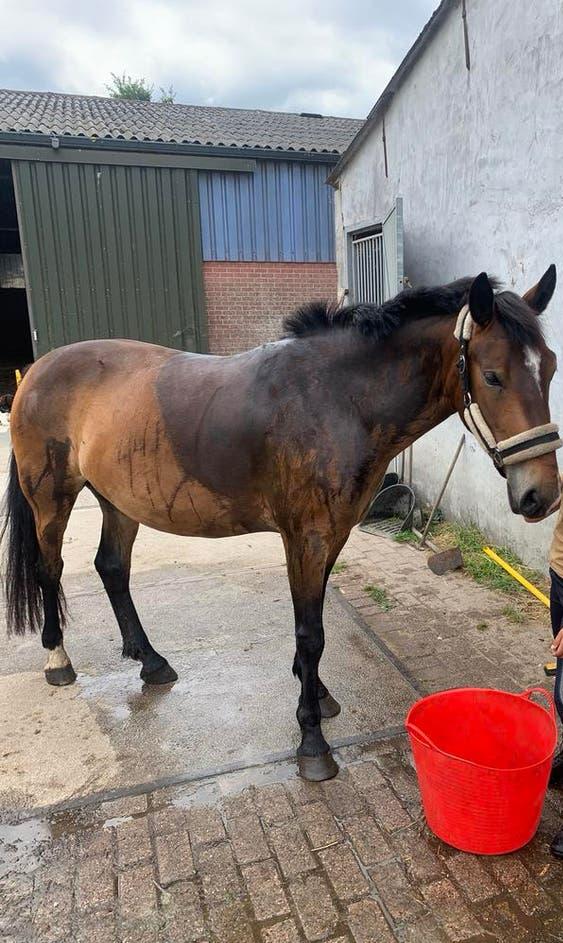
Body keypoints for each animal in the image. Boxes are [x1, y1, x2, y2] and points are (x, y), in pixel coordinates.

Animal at [2, 268, 561, 781]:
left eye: (550, 368)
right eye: (493, 375)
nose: (542, 494)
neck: (337, 398)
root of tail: (36, 370)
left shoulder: (332, 534)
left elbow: (314, 626)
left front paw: (318, 696)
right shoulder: (307, 537)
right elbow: (310, 633)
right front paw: (312, 741)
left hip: (119, 501)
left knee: (112, 568)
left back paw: (151, 661)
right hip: (52, 498)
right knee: (51, 570)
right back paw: (58, 661)